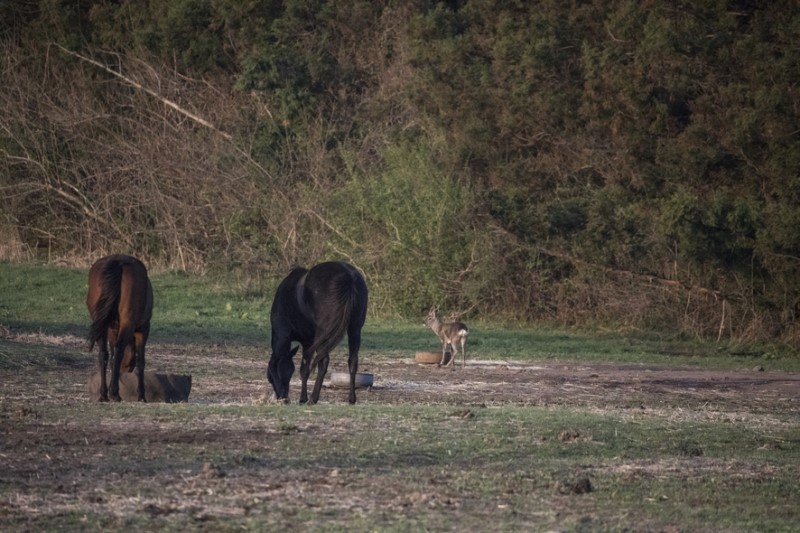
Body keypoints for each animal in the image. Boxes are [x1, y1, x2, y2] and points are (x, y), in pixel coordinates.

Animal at [268, 260, 368, 404]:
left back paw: (313, 398)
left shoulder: (283, 337)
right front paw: (302, 398)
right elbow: (304, 369)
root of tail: (349, 276)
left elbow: (274, 365)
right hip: (355, 329)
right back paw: (351, 399)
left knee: (323, 361)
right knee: (353, 361)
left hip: (323, 333)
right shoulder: (307, 342)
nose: (284, 395)